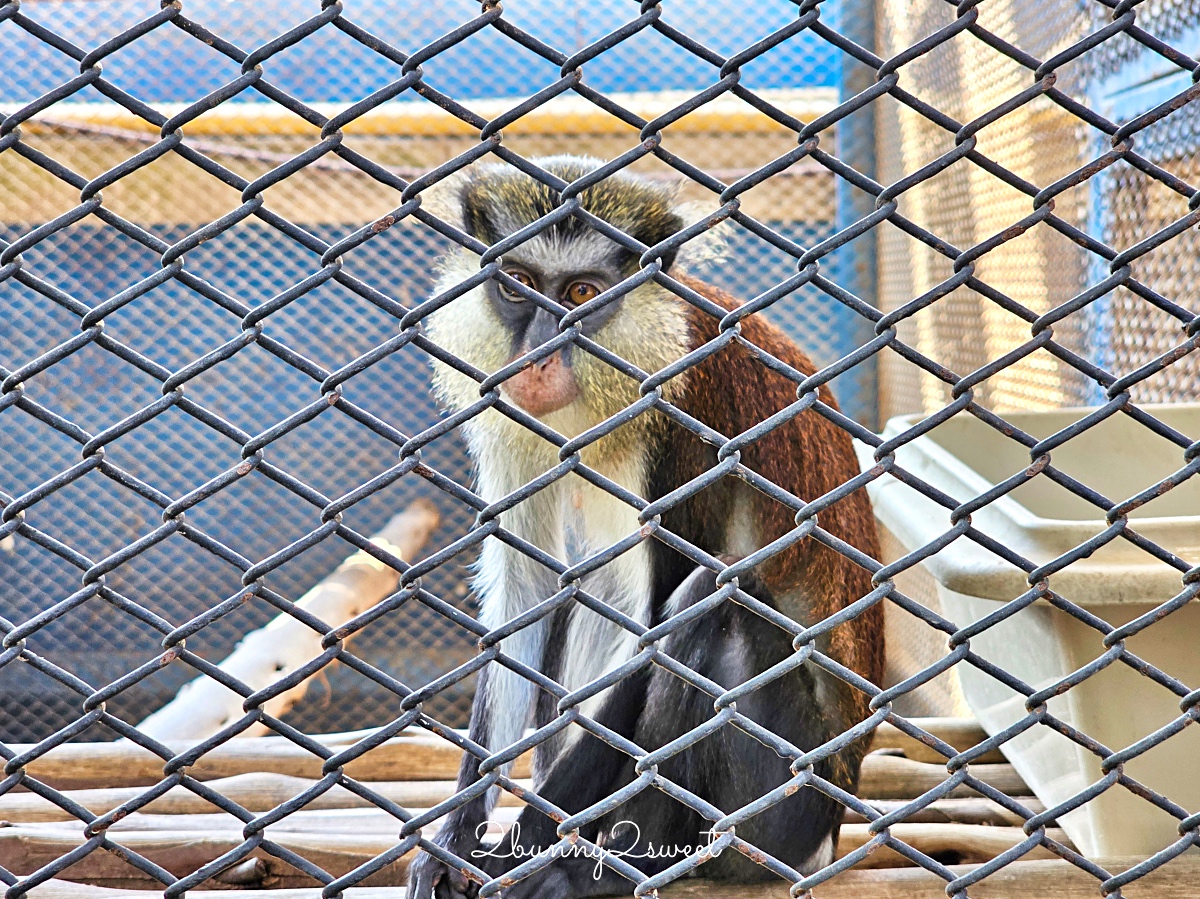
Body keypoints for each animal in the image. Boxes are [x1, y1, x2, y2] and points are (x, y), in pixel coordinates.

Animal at [408, 156, 888, 897]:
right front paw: (451, 844)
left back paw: (617, 865)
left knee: (708, 602)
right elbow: (528, 594)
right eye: (520, 284)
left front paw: (517, 856)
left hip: (784, 808)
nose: (538, 356)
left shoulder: (686, 415)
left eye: (582, 291)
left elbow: (654, 621)